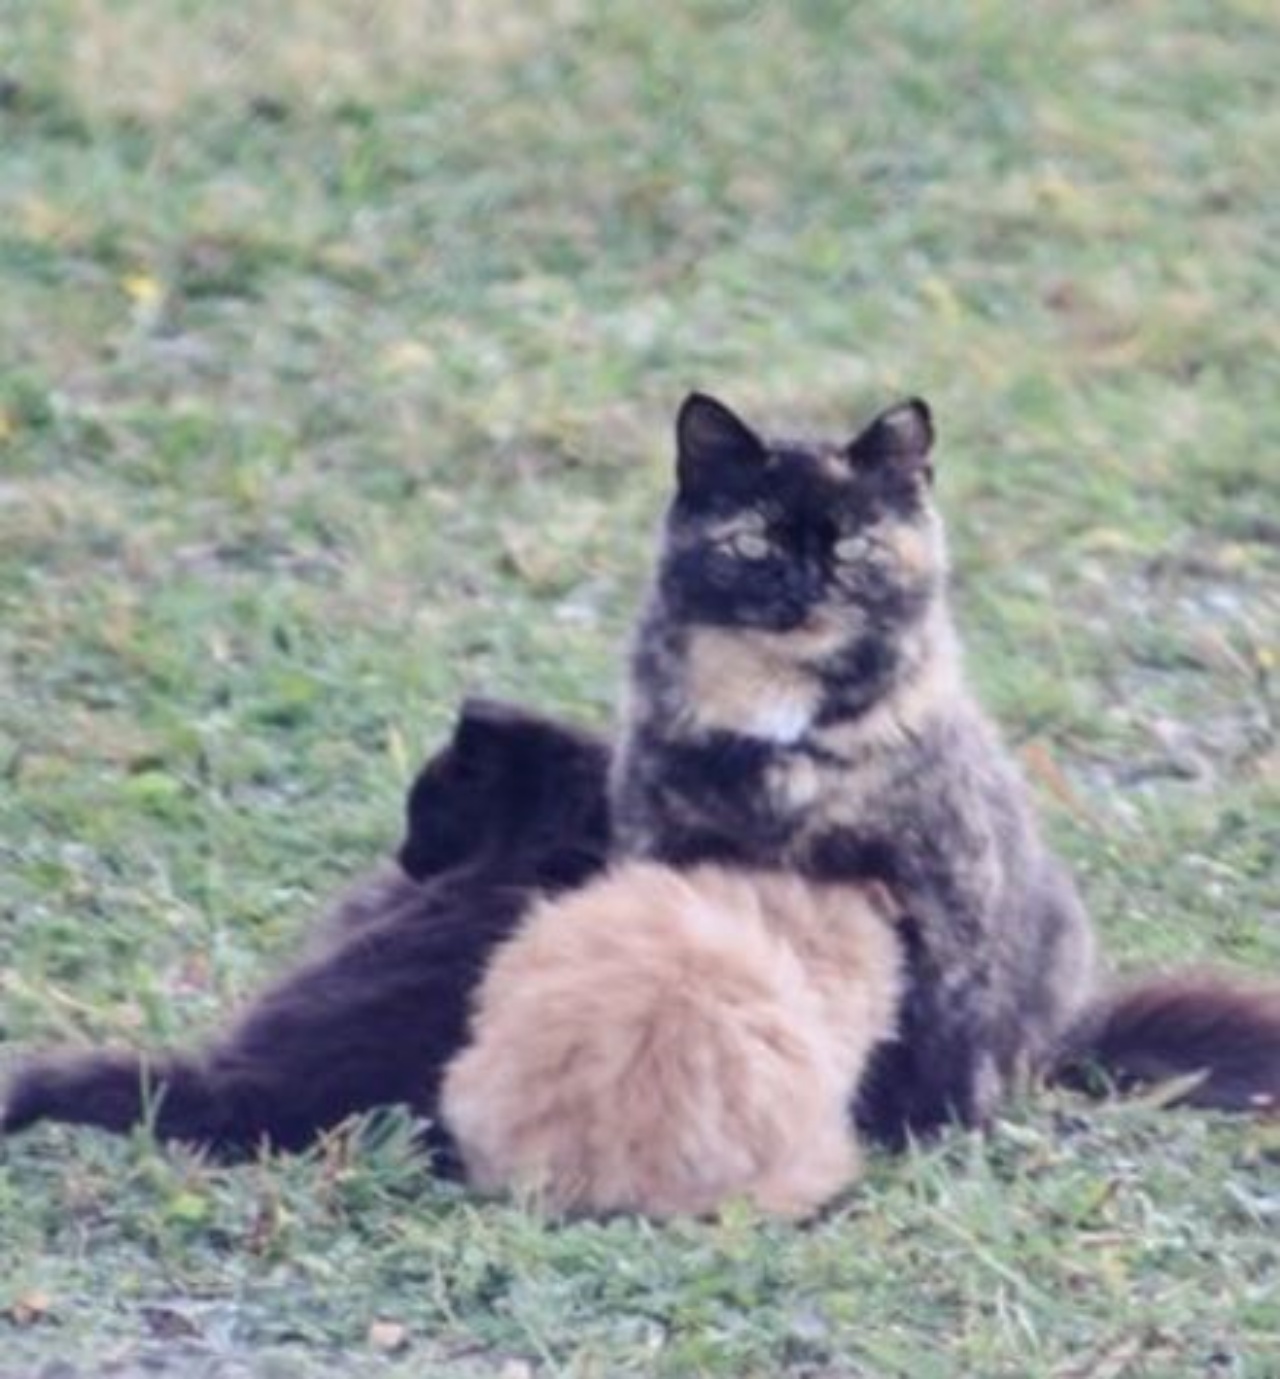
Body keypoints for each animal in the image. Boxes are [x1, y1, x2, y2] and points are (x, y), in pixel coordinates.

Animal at [609, 391, 1280, 1141]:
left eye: (855, 545)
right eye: (754, 543)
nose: (806, 587)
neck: (787, 723)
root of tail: (1069, 1042)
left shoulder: (943, 880)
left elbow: (945, 1018)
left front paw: (937, 1127)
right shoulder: (669, 851)